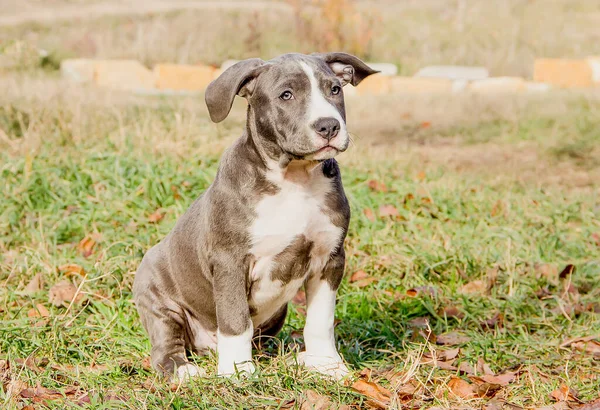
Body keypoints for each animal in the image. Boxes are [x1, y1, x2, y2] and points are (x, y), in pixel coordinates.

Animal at [134, 52, 378, 382]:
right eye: (286, 95)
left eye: (335, 90)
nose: (328, 126)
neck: (294, 179)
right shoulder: (230, 261)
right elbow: (235, 319)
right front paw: (237, 370)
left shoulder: (330, 258)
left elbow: (320, 319)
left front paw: (326, 363)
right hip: (158, 300)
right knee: (165, 345)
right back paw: (184, 371)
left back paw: (292, 358)